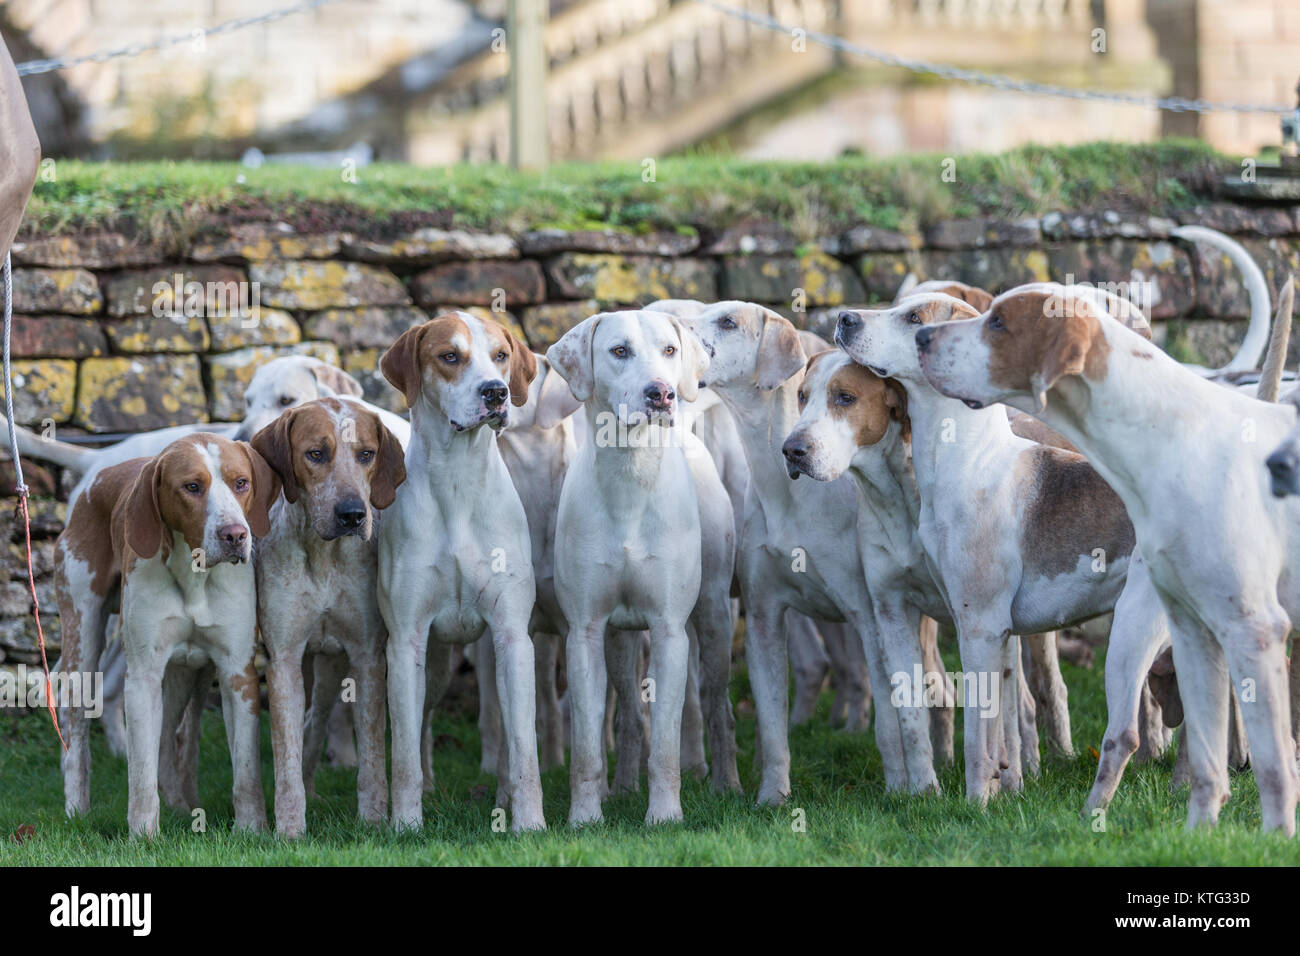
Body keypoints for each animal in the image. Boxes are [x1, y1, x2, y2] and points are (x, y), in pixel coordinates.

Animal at [56, 434, 282, 837]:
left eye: (241, 483)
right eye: (192, 487)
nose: (235, 535)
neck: (194, 577)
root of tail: (99, 474)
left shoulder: (237, 674)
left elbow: (246, 771)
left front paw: (252, 829)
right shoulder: (142, 678)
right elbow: (141, 774)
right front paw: (143, 836)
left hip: (182, 675)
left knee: (167, 739)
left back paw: (180, 805)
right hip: (81, 642)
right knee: (77, 729)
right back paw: (76, 808)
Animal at [246, 395, 400, 837]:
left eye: (367, 454)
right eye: (316, 454)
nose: (352, 515)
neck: (324, 556)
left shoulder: (368, 657)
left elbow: (371, 755)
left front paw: (373, 819)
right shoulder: (282, 660)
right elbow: (286, 762)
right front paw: (289, 829)